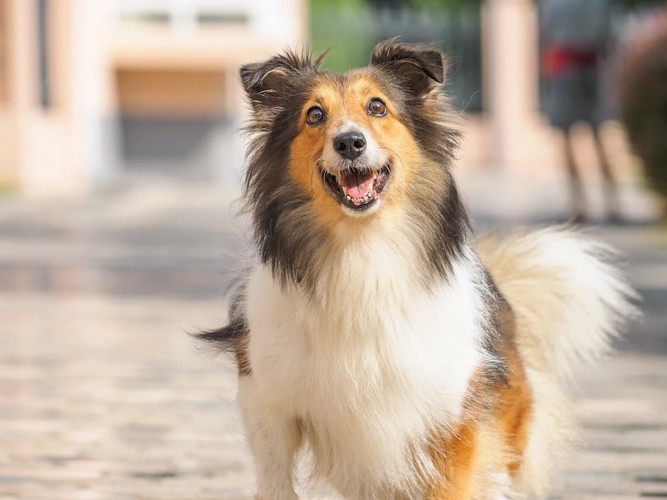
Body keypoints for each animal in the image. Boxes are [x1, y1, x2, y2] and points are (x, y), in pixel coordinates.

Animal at [201, 40, 640, 500]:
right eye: (315, 115)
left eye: (377, 107)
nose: (350, 142)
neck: (362, 249)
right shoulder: (267, 402)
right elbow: (275, 479)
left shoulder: (451, 417)